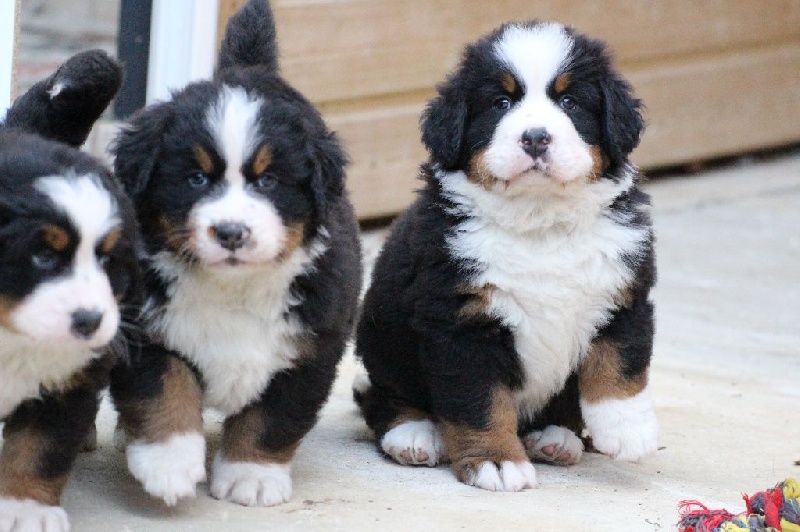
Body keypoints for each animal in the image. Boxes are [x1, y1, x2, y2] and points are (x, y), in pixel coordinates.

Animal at [0, 51, 140, 528]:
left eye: (108, 260)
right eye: (43, 255)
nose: (90, 321)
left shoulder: (73, 377)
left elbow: (39, 447)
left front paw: (25, 509)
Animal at [111, 0, 360, 508]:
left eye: (268, 181)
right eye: (195, 179)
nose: (230, 232)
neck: (232, 287)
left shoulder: (311, 346)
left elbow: (271, 418)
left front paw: (252, 475)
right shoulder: (144, 330)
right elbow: (164, 388)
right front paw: (168, 464)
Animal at [354, 22, 656, 492]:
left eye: (570, 102)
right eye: (501, 103)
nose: (535, 137)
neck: (540, 224)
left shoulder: (624, 292)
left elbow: (619, 365)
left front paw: (628, 430)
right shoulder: (462, 322)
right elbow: (480, 402)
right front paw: (496, 460)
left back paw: (555, 438)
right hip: (381, 339)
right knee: (381, 396)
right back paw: (414, 434)